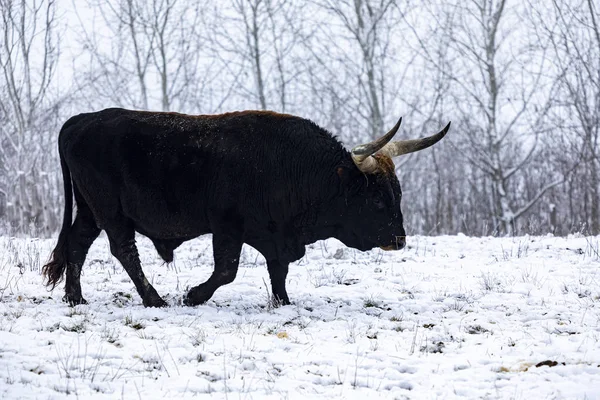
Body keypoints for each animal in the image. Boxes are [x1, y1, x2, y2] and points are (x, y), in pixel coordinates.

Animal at [43, 108, 450, 308]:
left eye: (398, 193)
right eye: (377, 198)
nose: (399, 239)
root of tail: (78, 121)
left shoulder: (276, 236)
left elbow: (279, 270)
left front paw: (283, 302)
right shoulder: (227, 227)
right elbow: (227, 271)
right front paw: (193, 296)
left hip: (90, 210)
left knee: (78, 244)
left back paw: (75, 297)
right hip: (111, 211)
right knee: (124, 250)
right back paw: (154, 299)